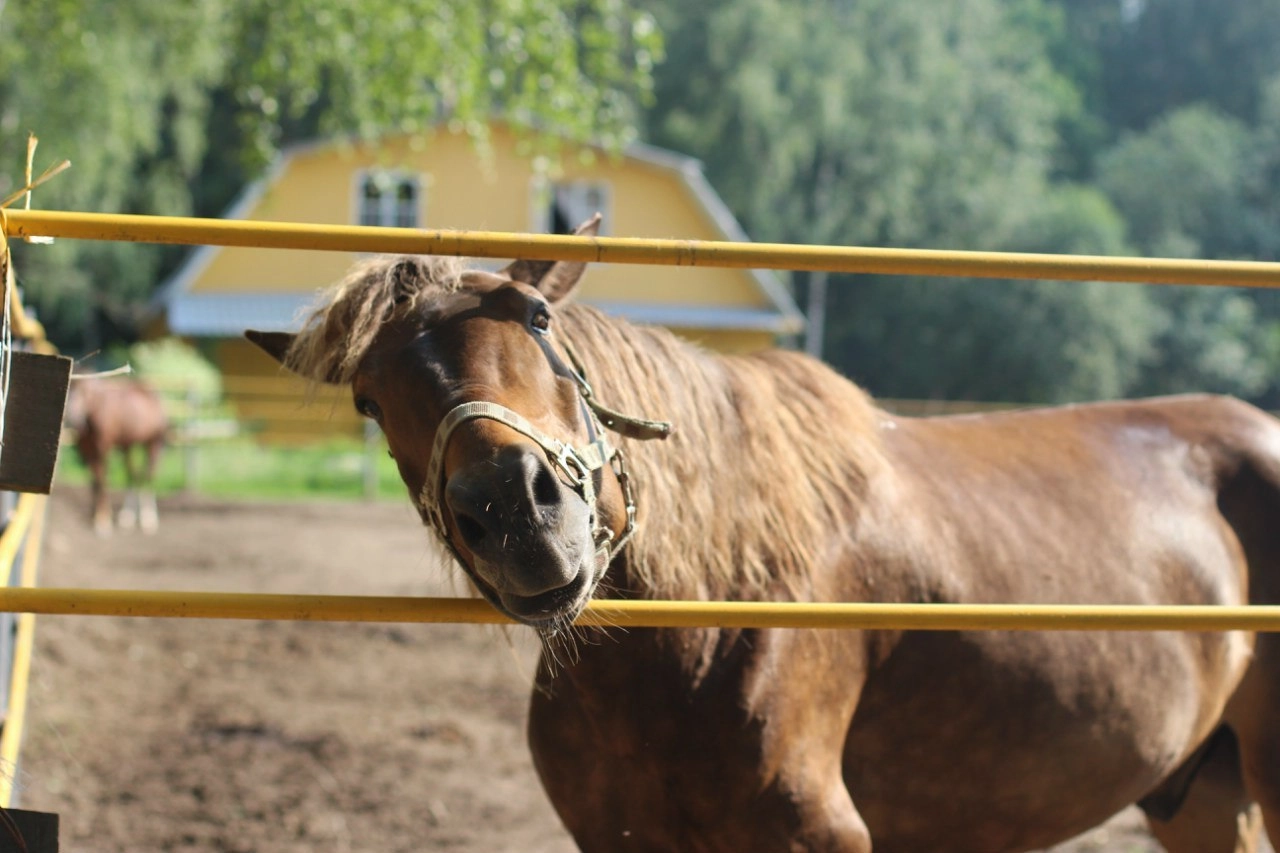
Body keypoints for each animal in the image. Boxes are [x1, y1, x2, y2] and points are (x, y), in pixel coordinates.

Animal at [64, 376, 168, 532]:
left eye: (85, 393)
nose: (72, 420)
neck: (94, 410)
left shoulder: (103, 448)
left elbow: (102, 480)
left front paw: (103, 519)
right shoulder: (87, 449)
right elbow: (95, 481)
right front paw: (94, 514)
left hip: (153, 443)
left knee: (148, 475)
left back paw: (148, 517)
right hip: (129, 446)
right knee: (132, 475)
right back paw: (127, 516)